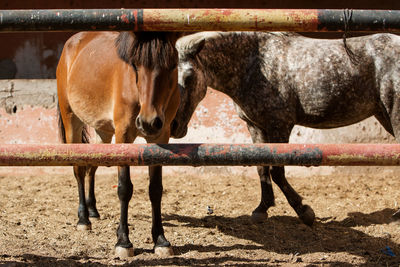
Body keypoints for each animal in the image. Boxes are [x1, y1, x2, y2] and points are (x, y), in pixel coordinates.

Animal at [56, 30, 181, 258]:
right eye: (136, 66)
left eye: (172, 65)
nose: (148, 121)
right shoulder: (123, 135)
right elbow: (124, 188)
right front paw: (123, 241)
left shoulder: (161, 138)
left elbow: (155, 189)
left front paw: (160, 240)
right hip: (71, 121)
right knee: (79, 169)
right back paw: (83, 218)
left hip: (103, 132)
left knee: (92, 167)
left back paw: (92, 210)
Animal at [173, 31, 400, 226]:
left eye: (189, 77)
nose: (175, 126)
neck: (254, 65)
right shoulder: (255, 126)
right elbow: (262, 166)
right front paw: (262, 209)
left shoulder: (279, 126)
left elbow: (277, 170)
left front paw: (304, 211)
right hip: (384, 116)